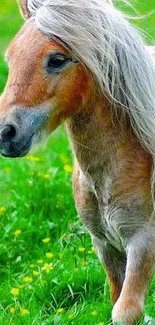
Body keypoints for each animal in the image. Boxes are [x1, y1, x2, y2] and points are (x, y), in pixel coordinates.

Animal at [0, 0, 155, 322]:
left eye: (57, 59)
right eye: (11, 57)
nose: (5, 133)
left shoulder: (143, 241)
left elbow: (126, 311)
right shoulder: (105, 245)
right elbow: (117, 299)